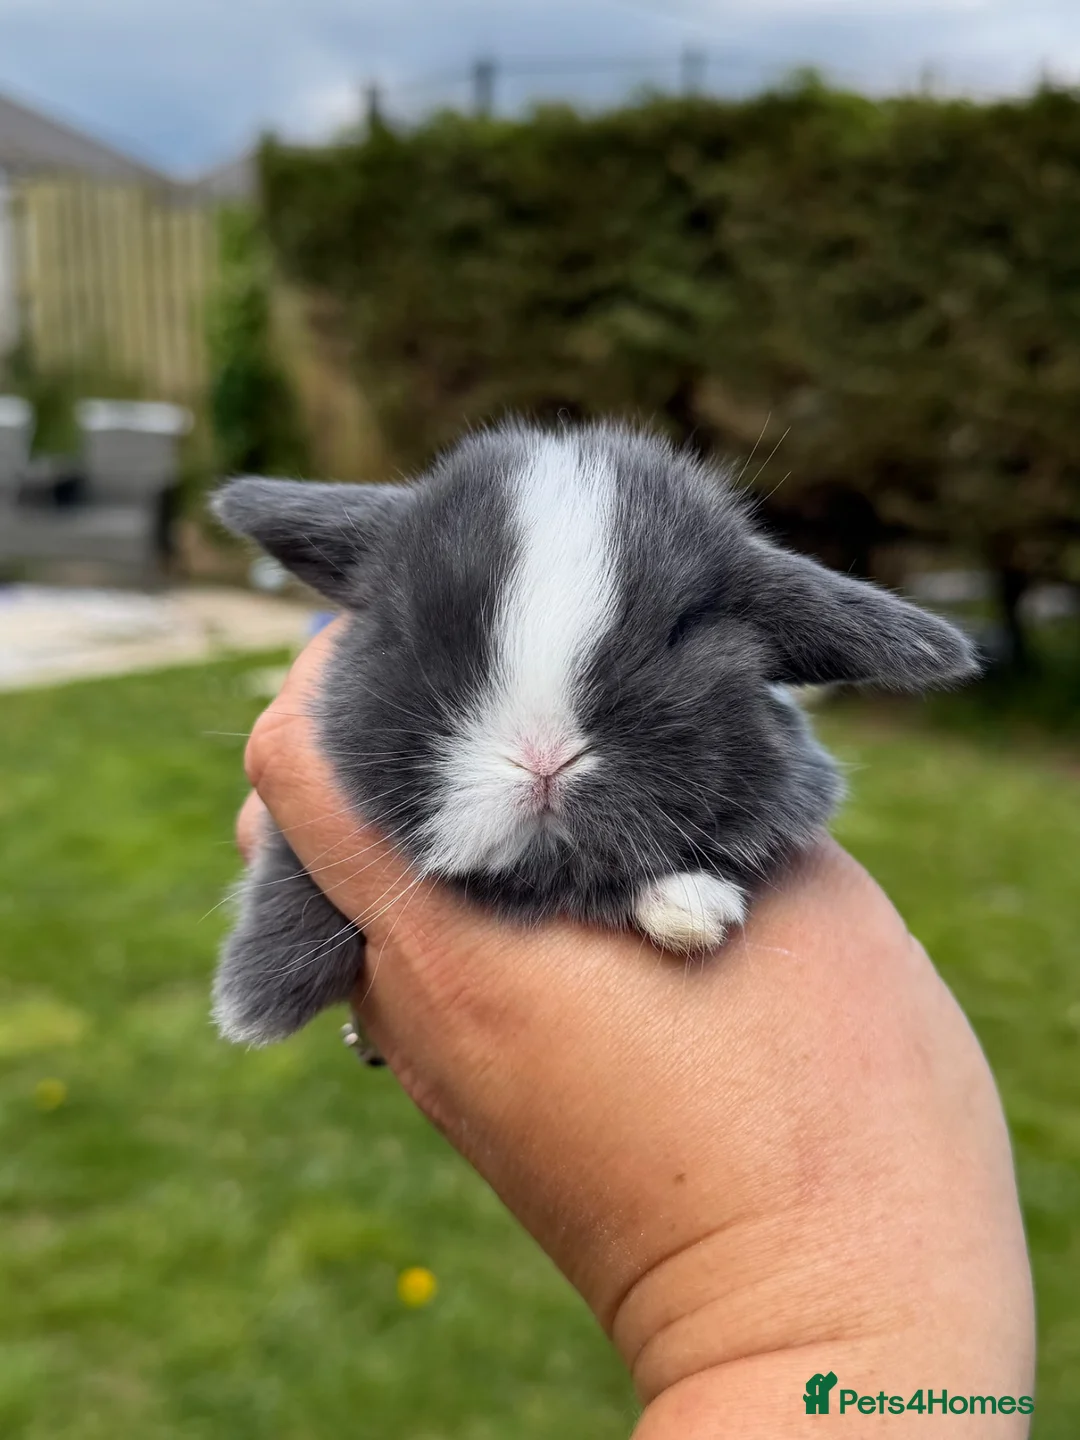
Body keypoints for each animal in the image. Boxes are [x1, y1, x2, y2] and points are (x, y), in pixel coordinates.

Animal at [210, 420, 978, 1046]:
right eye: (407, 629)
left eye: (682, 630)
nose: (543, 759)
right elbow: (293, 865)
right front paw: (257, 996)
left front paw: (690, 908)